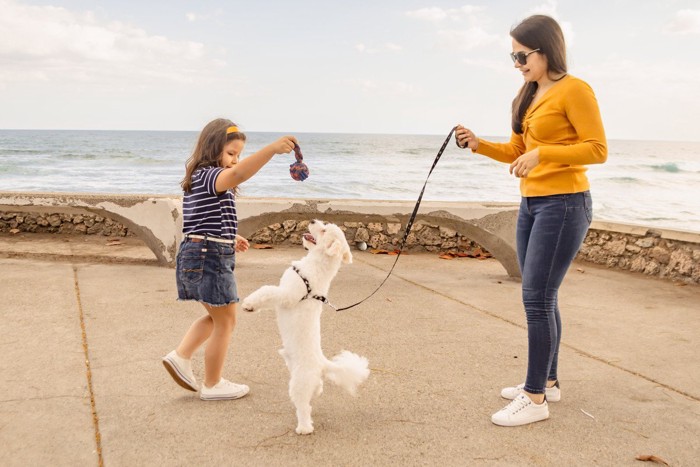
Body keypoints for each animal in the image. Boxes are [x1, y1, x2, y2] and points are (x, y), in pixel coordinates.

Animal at [242, 220, 370, 436]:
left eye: (324, 230)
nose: (312, 221)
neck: (313, 267)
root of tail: (322, 364)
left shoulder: (287, 295)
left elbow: (267, 290)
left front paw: (249, 304)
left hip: (299, 383)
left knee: (303, 406)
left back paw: (304, 428)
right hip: (308, 379)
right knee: (315, 392)